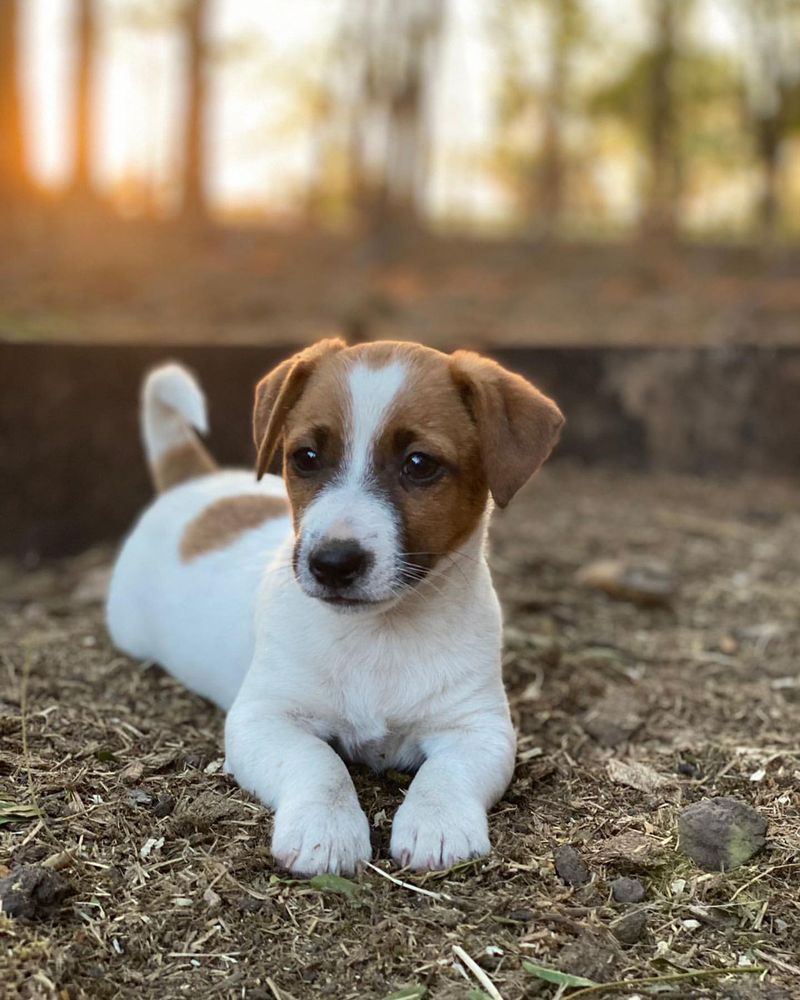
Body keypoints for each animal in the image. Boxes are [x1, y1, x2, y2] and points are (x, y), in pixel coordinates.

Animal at [108, 340, 564, 872]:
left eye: (419, 464)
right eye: (305, 457)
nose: (332, 563)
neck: (380, 631)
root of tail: (193, 482)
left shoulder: (478, 728)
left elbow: (447, 773)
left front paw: (439, 823)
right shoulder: (263, 718)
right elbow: (318, 764)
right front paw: (325, 830)